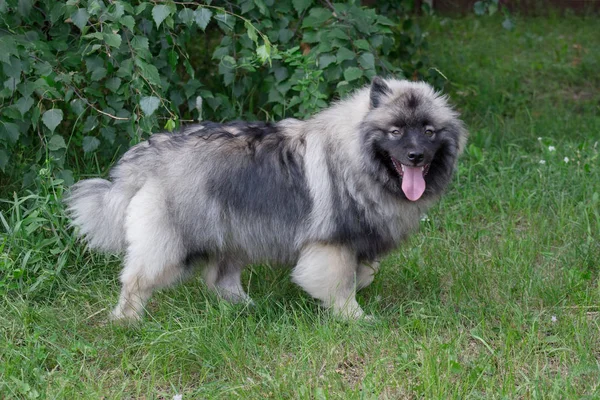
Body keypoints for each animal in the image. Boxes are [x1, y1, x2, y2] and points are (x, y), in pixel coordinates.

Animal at [65, 77, 468, 322]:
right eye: (395, 131)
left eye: (428, 131)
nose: (415, 156)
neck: (357, 159)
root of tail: (149, 155)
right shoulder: (333, 244)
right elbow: (341, 285)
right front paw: (354, 318)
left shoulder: (357, 242)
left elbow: (366, 272)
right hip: (173, 244)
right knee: (136, 281)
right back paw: (127, 322)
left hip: (236, 232)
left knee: (220, 279)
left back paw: (246, 308)